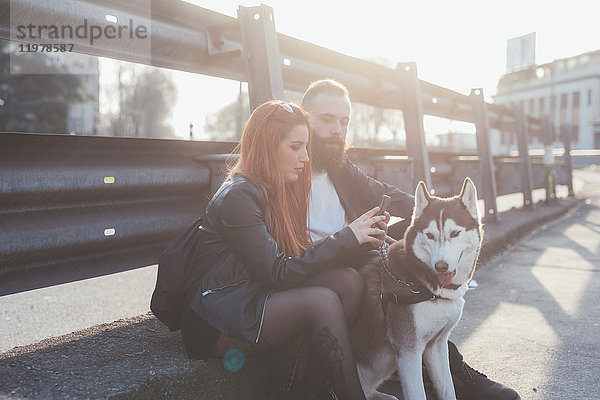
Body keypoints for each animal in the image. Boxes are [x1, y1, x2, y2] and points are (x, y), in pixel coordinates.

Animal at [352, 179, 482, 400]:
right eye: (429, 235)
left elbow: (448, 389)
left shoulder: (436, 346)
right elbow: (417, 393)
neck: (424, 286)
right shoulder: (409, 352)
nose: (441, 266)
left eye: (455, 233)